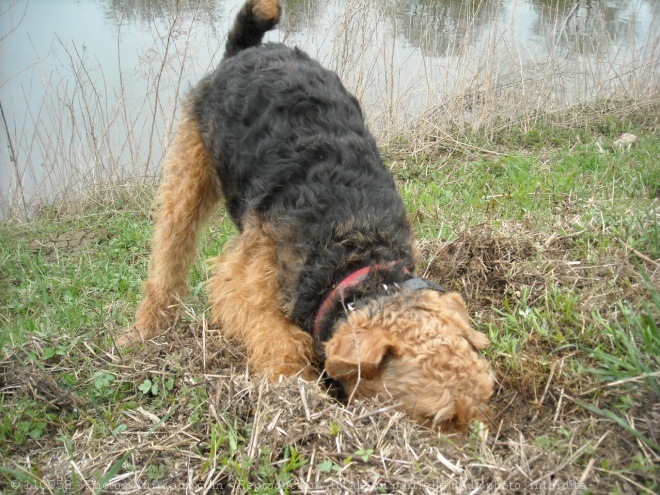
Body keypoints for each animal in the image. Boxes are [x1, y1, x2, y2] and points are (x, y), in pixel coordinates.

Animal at [121, 0, 496, 432]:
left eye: (487, 392)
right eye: (437, 418)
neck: (351, 250)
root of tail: (247, 50)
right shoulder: (245, 284)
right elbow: (278, 340)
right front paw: (297, 396)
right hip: (188, 172)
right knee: (168, 254)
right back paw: (142, 330)